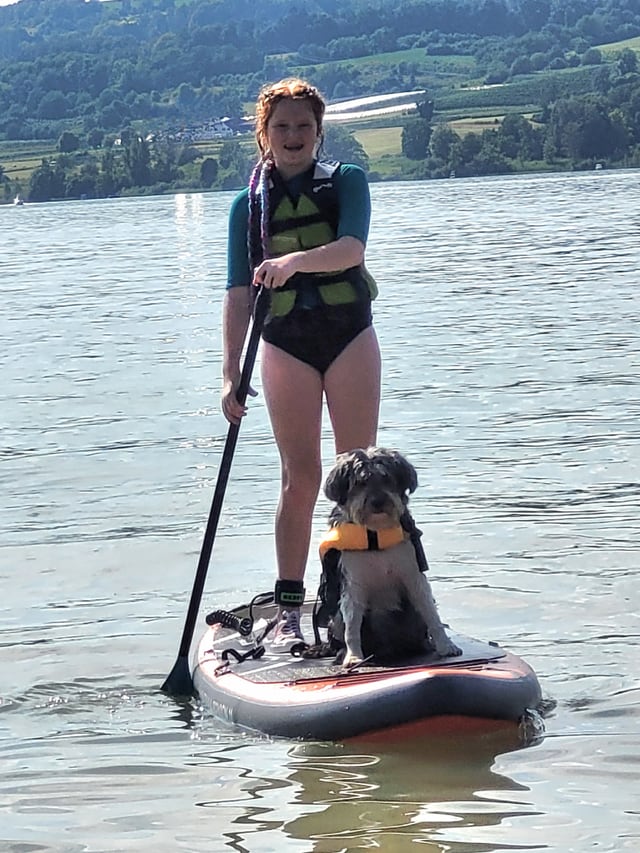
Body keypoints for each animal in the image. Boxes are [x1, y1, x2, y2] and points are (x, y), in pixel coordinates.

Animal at [322, 446, 462, 664]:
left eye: (386, 478)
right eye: (360, 482)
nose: (378, 502)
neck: (375, 534)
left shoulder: (414, 574)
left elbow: (432, 615)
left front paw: (446, 646)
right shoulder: (353, 582)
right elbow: (352, 625)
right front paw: (353, 657)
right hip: (336, 618)